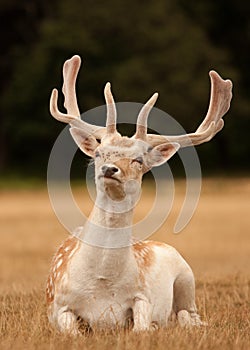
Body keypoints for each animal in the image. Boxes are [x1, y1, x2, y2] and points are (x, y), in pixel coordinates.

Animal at [46, 54, 232, 334]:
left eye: (138, 160)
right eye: (98, 153)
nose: (109, 169)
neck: (101, 283)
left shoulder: (142, 295)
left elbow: (141, 327)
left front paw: (154, 326)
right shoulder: (59, 305)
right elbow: (73, 332)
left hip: (187, 277)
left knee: (191, 315)